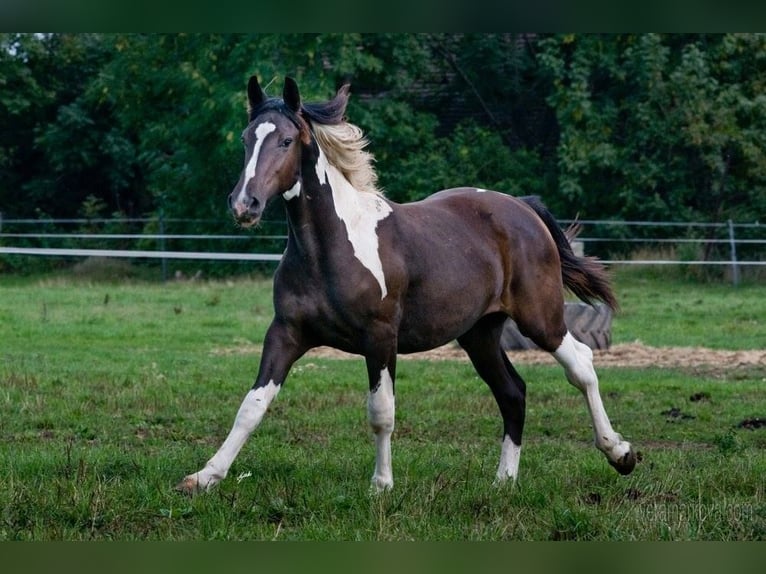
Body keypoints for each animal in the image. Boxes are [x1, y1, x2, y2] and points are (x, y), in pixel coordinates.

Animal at [177, 75, 640, 496]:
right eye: (245, 138)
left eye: (286, 140)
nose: (244, 204)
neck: (330, 248)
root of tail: (523, 209)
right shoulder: (287, 333)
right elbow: (251, 406)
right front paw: (204, 477)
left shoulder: (380, 337)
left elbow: (381, 410)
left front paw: (381, 485)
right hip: (479, 333)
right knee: (513, 392)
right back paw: (503, 482)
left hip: (539, 318)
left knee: (581, 365)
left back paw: (620, 453)